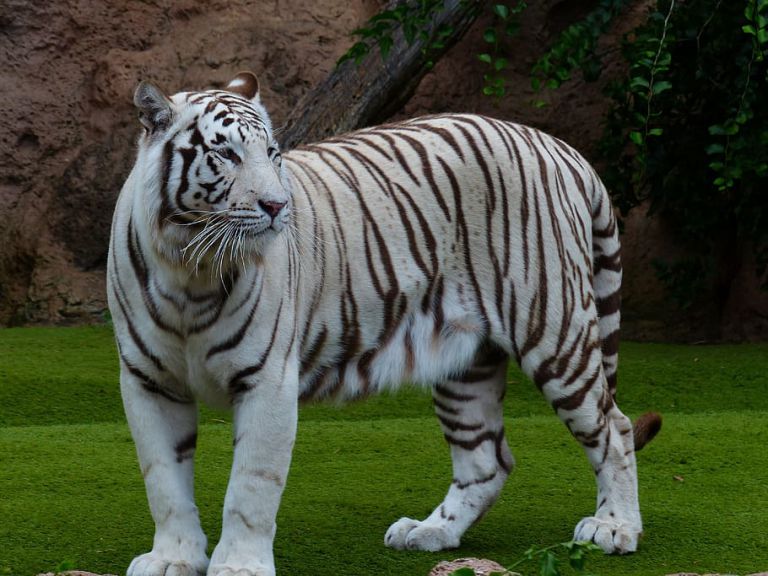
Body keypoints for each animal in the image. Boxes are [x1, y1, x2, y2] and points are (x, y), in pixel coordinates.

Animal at [108, 72, 660, 576]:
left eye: (272, 153)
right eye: (226, 155)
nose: (277, 206)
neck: (190, 269)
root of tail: (558, 146)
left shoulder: (267, 380)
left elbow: (251, 485)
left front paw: (239, 566)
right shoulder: (147, 380)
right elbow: (163, 480)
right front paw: (173, 558)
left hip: (554, 329)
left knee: (614, 426)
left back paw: (614, 528)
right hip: (465, 362)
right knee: (487, 459)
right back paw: (431, 531)